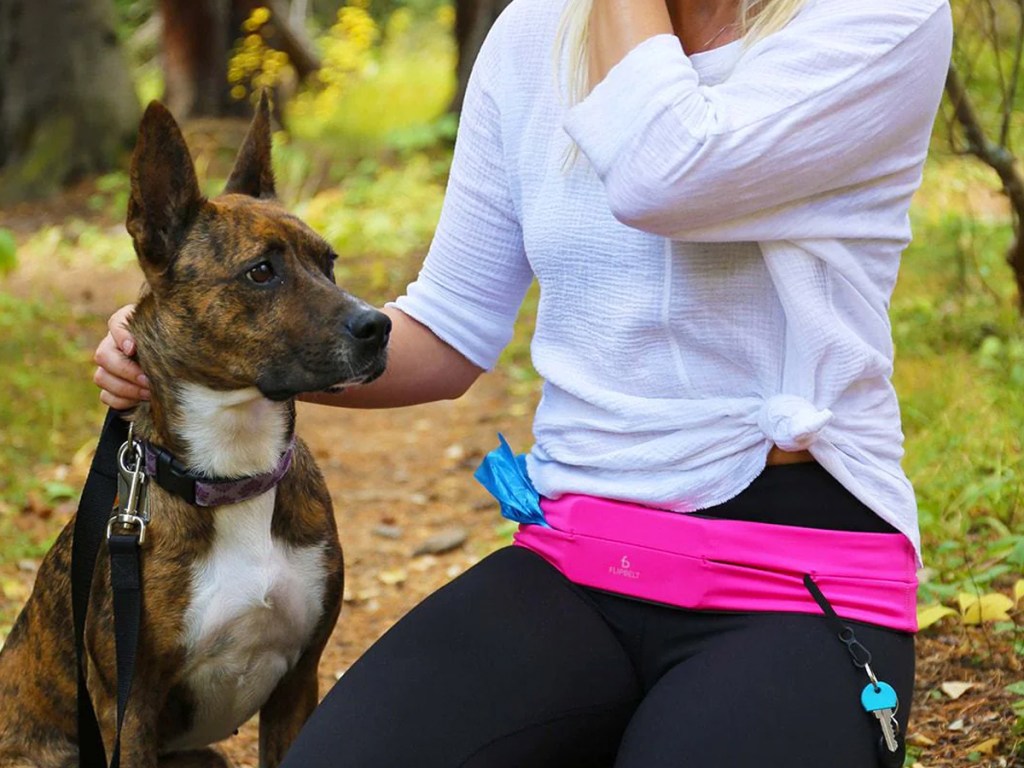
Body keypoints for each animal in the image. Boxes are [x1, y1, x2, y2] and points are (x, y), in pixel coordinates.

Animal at [0, 97, 389, 768]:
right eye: (260, 272)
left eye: (329, 262)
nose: (379, 327)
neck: (234, 473)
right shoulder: (129, 712)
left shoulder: (298, 684)